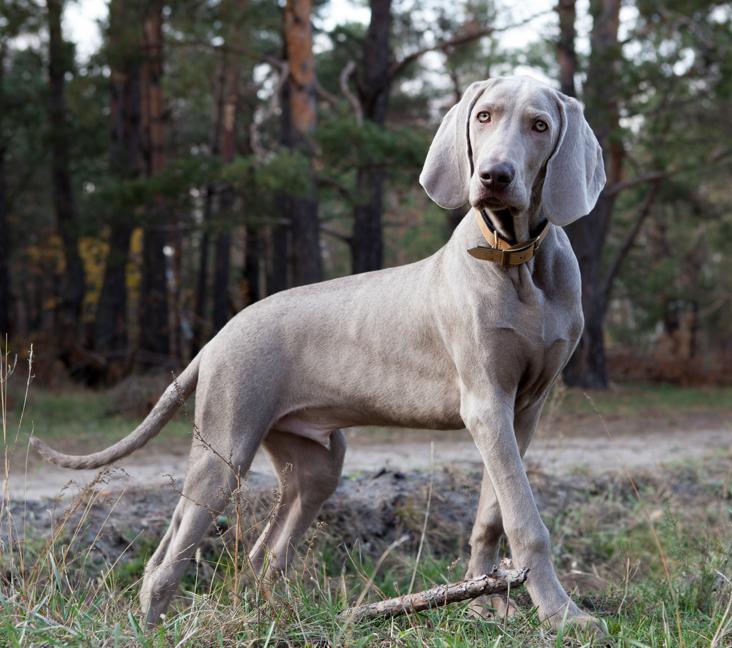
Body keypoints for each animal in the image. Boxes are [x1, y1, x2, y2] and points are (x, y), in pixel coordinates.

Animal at [33, 74, 608, 628]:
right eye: (484, 116)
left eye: (539, 125)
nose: (494, 176)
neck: (516, 259)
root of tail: (217, 336)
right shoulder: (485, 402)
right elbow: (525, 520)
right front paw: (562, 616)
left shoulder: (522, 409)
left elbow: (494, 512)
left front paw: (492, 605)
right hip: (225, 448)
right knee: (171, 559)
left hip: (314, 464)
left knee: (262, 552)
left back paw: (277, 618)